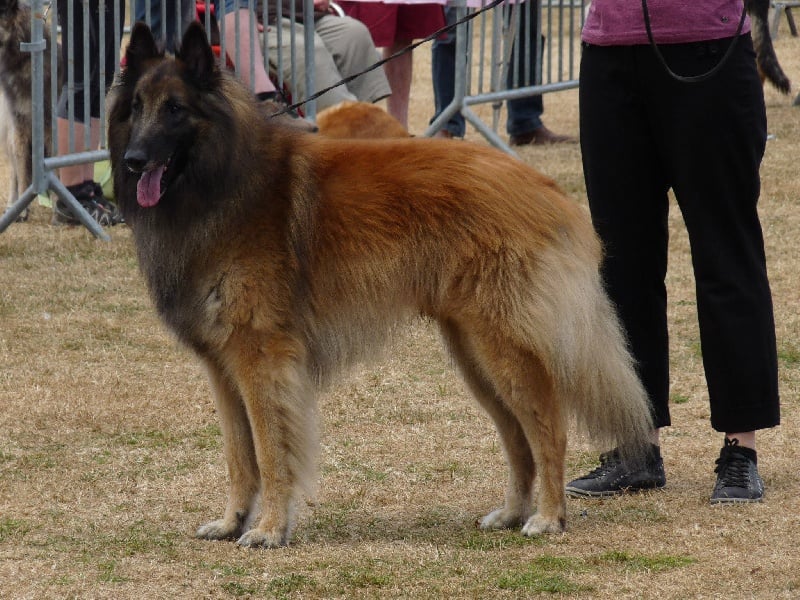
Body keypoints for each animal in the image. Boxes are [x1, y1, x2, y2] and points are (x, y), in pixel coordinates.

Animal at [108, 22, 656, 548]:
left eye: (175, 109)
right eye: (135, 107)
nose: (133, 160)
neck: (221, 182)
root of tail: (544, 187)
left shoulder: (260, 360)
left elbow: (270, 453)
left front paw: (268, 529)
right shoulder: (224, 370)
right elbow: (239, 457)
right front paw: (232, 523)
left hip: (502, 348)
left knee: (549, 431)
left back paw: (548, 517)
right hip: (473, 356)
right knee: (518, 439)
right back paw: (512, 513)